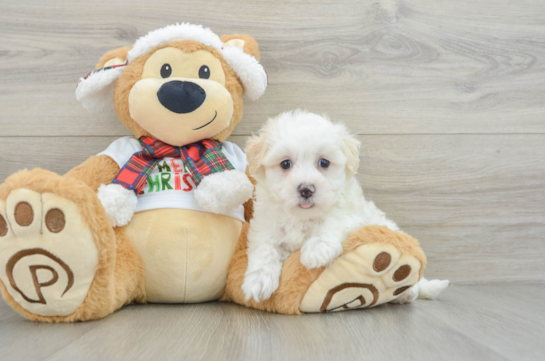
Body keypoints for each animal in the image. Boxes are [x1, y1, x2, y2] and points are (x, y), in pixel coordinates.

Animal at [242, 109, 446, 300]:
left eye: (324, 162)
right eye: (285, 164)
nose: (306, 189)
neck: (303, 217)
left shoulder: (352, 215)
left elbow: (334, 222)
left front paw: (316, 249)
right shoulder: (265, 228)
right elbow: (264, 249)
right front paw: (258, 281)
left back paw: (408, 292)